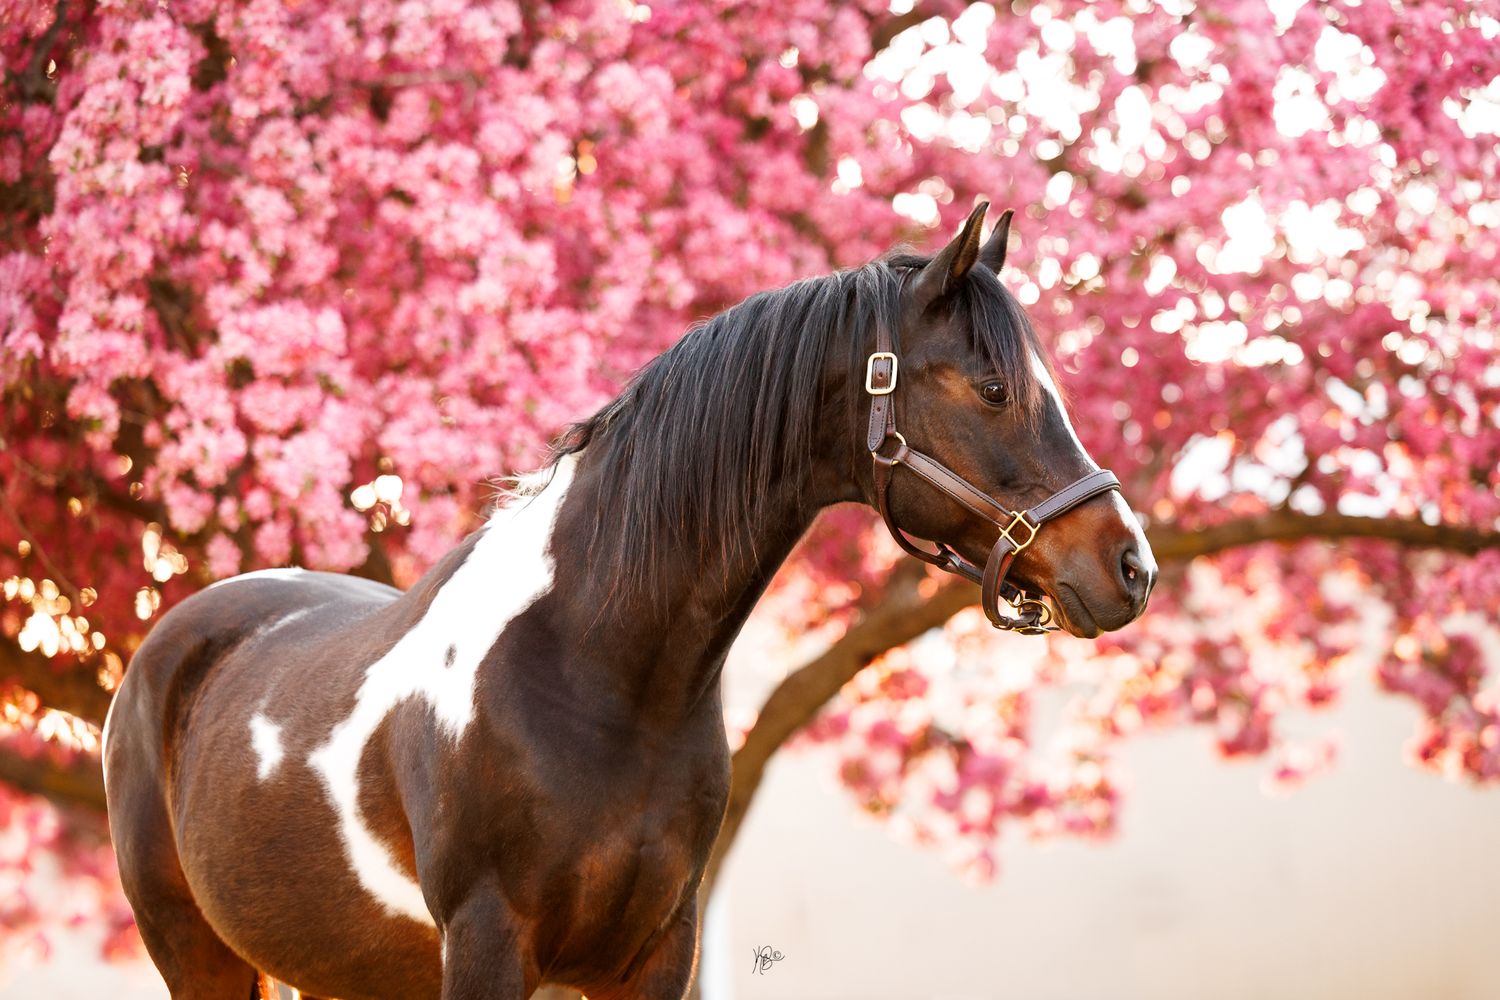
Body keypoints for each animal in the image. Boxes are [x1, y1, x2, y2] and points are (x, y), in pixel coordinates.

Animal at [102, 201, 1156, 1000]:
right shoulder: (487, 946)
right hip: (198, 958)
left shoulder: (655, 954)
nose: (1131, 567)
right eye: (993, 388)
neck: (598, 674)